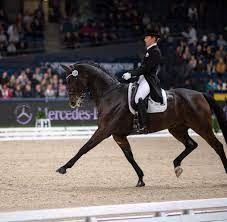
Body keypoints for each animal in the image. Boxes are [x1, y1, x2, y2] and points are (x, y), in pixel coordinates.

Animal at [57, 62, 227, 187]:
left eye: (72, 80)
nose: (73, 103)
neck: (110, 94)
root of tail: (200, 94)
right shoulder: (118, 135)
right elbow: (129, 156)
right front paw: (140, 179)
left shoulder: (104, 131)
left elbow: (84, 148)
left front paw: (63, 167)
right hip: (177, 128)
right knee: (191, 144)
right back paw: (177, 166)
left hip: (201, 126)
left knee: (217, 146)